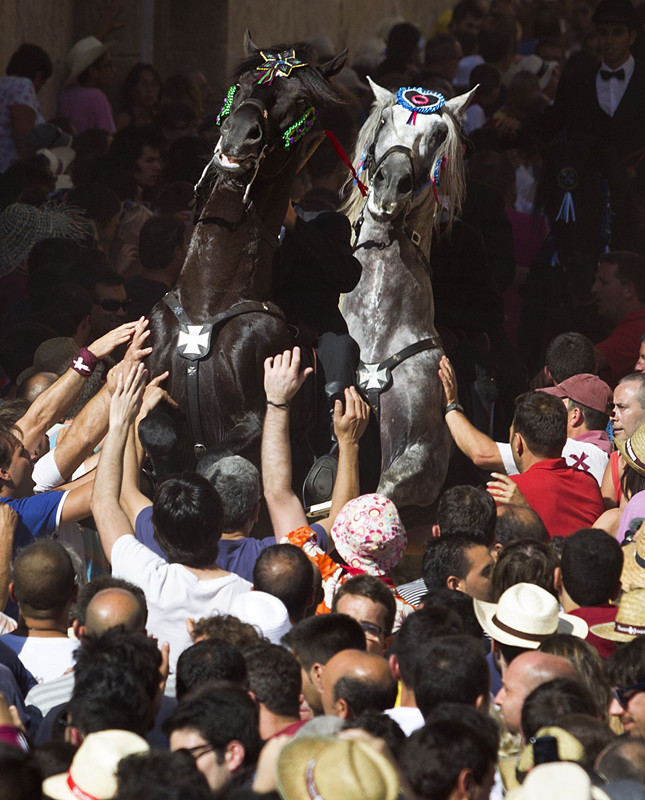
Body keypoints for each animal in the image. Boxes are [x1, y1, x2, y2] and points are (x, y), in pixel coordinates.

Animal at [145, 34, 348, 478]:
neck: (209, 303)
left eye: (302, 101)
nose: (240, 133)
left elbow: (217, 459)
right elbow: (156, 432)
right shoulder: (153, 393)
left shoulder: (256, 420)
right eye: (243, 83)